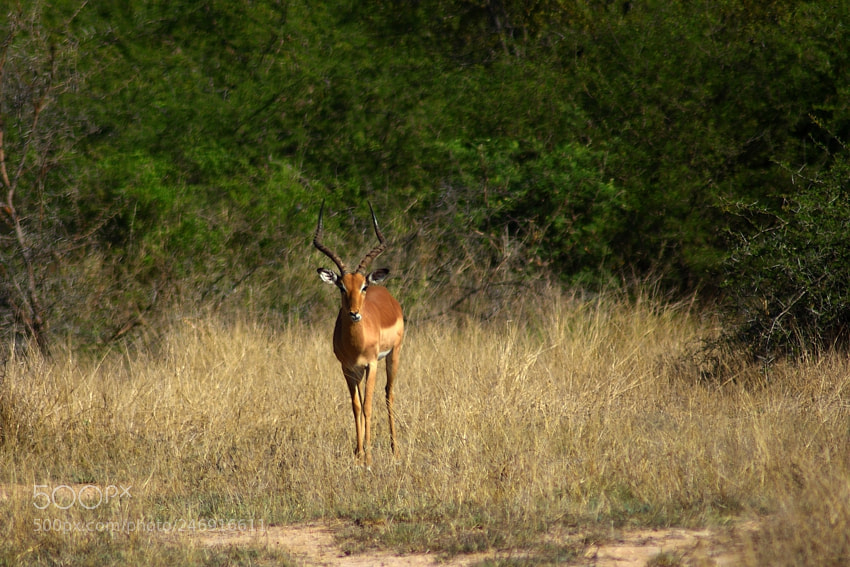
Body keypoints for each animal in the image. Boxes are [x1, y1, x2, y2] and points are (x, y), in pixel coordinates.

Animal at [313, 202, 404, 466]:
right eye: (342, 287)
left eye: (363, 286)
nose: (354, 314)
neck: (356, 342)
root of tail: (386, 293)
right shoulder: (348, 367)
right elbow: (355, 407)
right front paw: (358, 454)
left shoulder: (371, 364)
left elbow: (368, 407)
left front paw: (369, 458)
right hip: (360, 371)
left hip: (393, 356)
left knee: (388, 394)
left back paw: (395, 451)